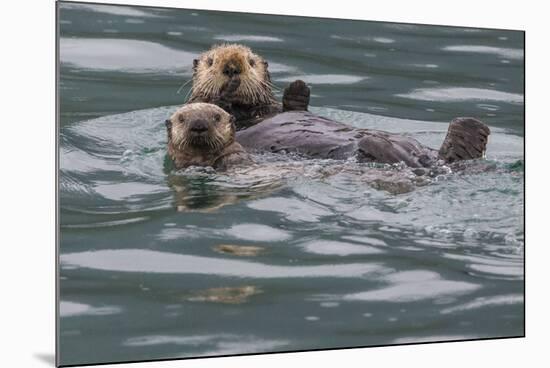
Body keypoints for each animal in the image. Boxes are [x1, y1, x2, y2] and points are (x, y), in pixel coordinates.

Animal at [189, 43, 492, 168]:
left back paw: (471, 131)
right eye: (211, 61)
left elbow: (294, 107)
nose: (232, 67)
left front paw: (298, 86)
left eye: (251, 62)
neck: (249, 112)